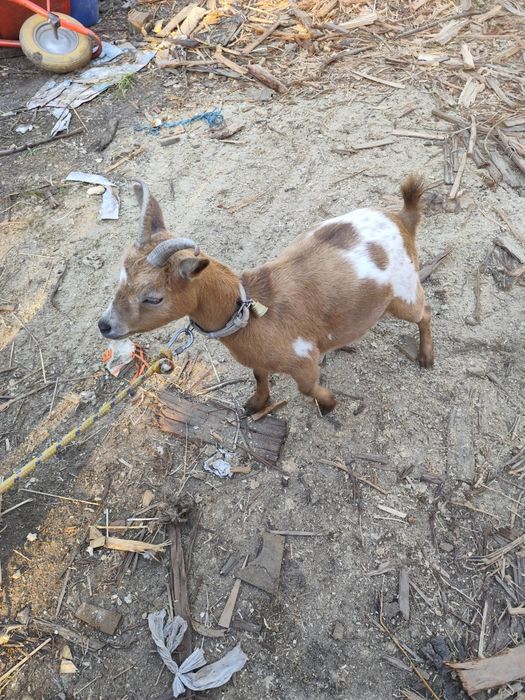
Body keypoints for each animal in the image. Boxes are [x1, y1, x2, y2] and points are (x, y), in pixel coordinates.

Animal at [98, 176, 434, 414]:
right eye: (120, 277)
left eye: (153, 297)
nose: (105, 325)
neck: (250, 313)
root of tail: (402, 219)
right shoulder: (256, 359)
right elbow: (259, 376)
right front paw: (255, 405)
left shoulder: (303, 360)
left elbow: (307, 388)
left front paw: (329, 404)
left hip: (404, 292)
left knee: (425, 313)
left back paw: (426, 357)